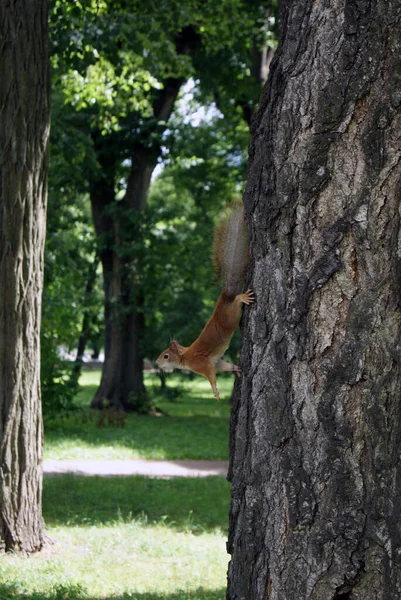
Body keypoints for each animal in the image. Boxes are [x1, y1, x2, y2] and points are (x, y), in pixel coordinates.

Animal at [155, 203, 252, 404]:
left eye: (166, 355)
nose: (156, 363)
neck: (185, 356)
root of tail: (225, 296)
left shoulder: (203, 364)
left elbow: (211, 377)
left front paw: (215, 392)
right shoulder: (216, 361)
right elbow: (224, 365)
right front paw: (235, 368)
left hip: (230, 316)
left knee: (236, 303)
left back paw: (241, 298)